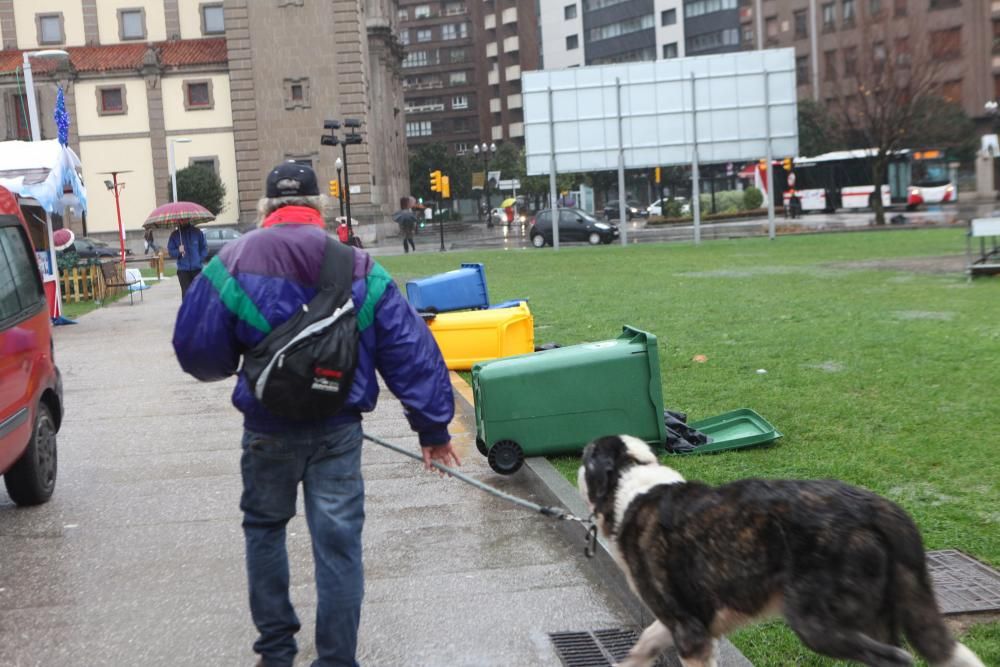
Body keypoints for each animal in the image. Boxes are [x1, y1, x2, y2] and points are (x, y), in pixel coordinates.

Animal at [580, 436, 984, 664]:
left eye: (584, 459)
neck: (631, 483)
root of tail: (877, 507)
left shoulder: (689, 630)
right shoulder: (692, 623)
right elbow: (644, 645)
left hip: (815, 622)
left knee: (896, 658)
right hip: (874, 616)